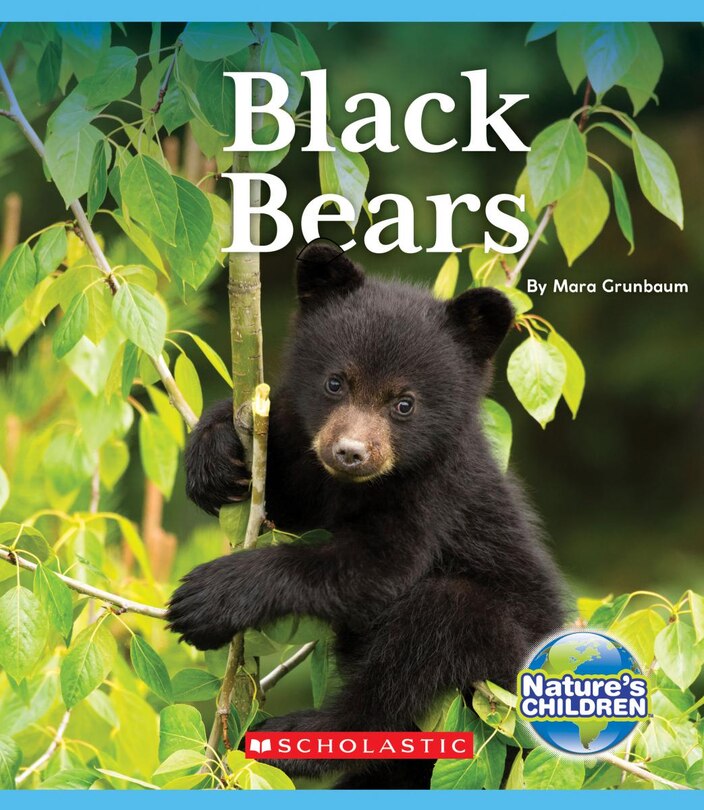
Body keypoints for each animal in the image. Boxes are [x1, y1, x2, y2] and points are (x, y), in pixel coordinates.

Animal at [167, 241, 566, 789]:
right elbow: (285, 496)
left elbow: (376, 567)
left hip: (507, 669)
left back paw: (301, 737)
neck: (358, 486)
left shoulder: (433, 492)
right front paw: (213, 452)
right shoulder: (312, 470)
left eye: (404, 403)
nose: (350, 452)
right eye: (336, 381)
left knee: (425, 638)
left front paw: (210, 597)